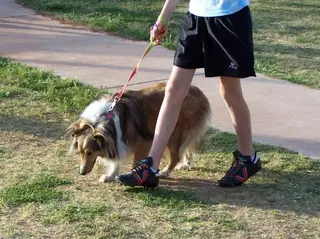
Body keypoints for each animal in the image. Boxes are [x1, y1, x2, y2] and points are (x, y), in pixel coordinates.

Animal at [66, 81, 211, 182]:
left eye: (90, 152)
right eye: (80, 152)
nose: (81, 173)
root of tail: (199, 93)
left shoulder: (143, 143)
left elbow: (135, 162)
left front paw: (133, 175)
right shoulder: (118, 141)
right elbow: (116, 161)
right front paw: (110, 175)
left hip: (174, 133)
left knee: (176, 156)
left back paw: (165, 172)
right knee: (186, 148)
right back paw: (186, 163)